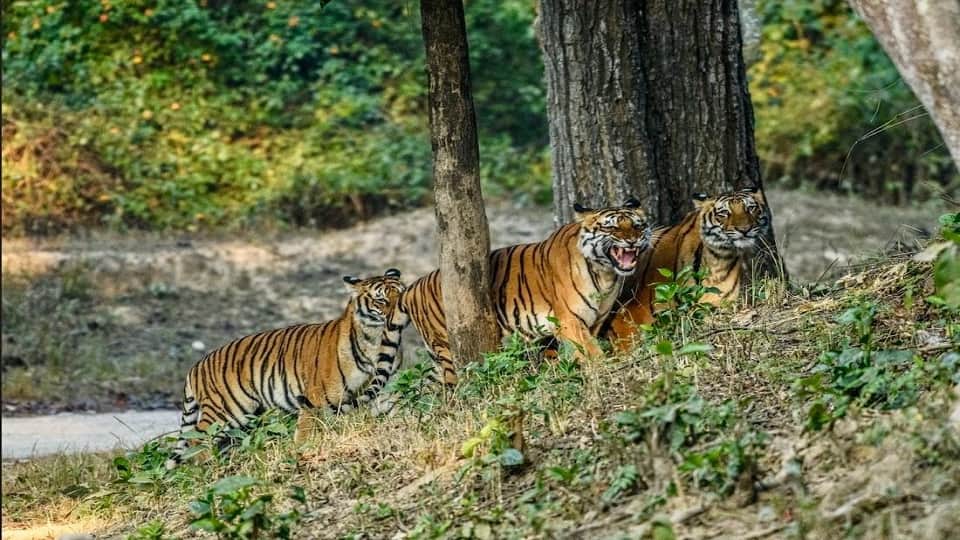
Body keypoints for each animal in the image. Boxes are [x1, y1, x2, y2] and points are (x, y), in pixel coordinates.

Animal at [165, 269, 407, 469]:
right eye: (380, 299)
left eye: (401, 293)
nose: (398, 314)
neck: (375, 341)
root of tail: (196, 366)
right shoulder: (314, 400)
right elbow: (305, 432)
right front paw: (301, 452)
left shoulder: (385, 389)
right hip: (226, 411)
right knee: (197, 441)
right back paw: (208, 468)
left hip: (243, 418)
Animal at [400, 199, 651, 385]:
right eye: (611, 227)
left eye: (638, 226)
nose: (632, 241)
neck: (605, 274)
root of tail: (412, 286)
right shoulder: (570, 321)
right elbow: (592, 352)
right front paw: (607, 370)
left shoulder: (596, 320)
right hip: (447, 348)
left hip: (437, 358)